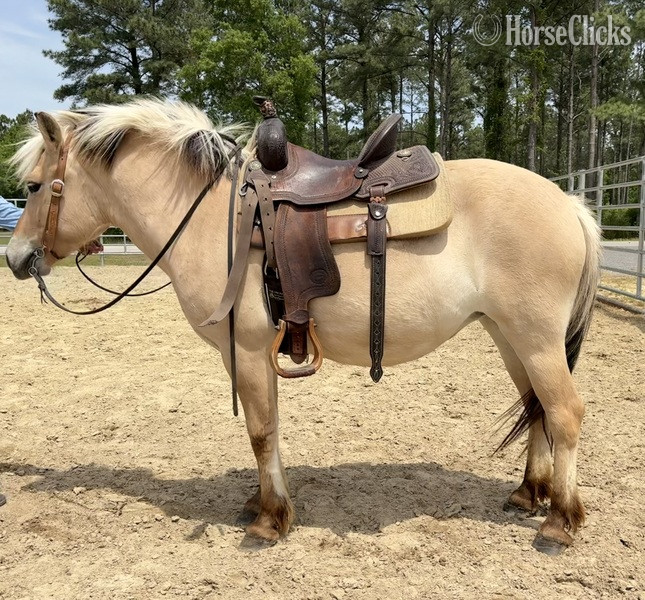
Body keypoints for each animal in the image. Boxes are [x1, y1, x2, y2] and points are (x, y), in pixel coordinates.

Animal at [6, 99, 600, 554]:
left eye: (33, 187)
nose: (15, 258)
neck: (211, 219)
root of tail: (569, 202)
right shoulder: (248, 354)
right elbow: (267, 427)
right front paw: (264, 501)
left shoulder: (247, 350)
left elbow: (260, 431)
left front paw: (270, 520)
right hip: (509, 337)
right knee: (537, 408)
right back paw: (529, 494)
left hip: (536, 340)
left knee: (565, 413)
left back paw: (559, 521)